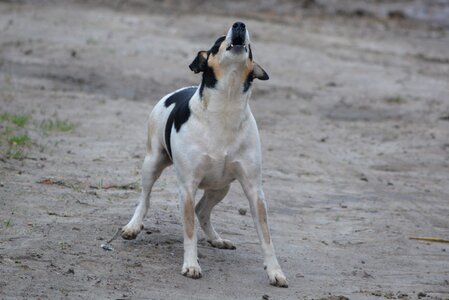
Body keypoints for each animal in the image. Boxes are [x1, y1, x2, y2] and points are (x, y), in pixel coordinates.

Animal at [120, 21, 288, 288]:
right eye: (218, 41)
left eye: (250, 47)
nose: (239, 24)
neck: (226, 105)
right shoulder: (187, 187)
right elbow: (189, 232)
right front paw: (191, 265)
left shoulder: (254, 190)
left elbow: (266, 237)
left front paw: (274, 271)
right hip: (152, 163)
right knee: (145, 199)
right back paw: (133, 226)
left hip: (221, 187)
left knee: (202, 211)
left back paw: (216, 238)